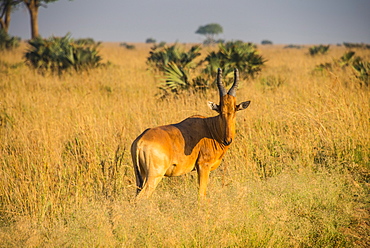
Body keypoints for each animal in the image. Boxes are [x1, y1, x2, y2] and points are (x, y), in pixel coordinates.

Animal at [132, 68, 250, 200]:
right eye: (220, 111)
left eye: (235, 110)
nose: (227, 140)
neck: (210, 127)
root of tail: (141, 141)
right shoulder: (203, 166)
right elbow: (201, 194)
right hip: (154, 176)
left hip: (140, 176)